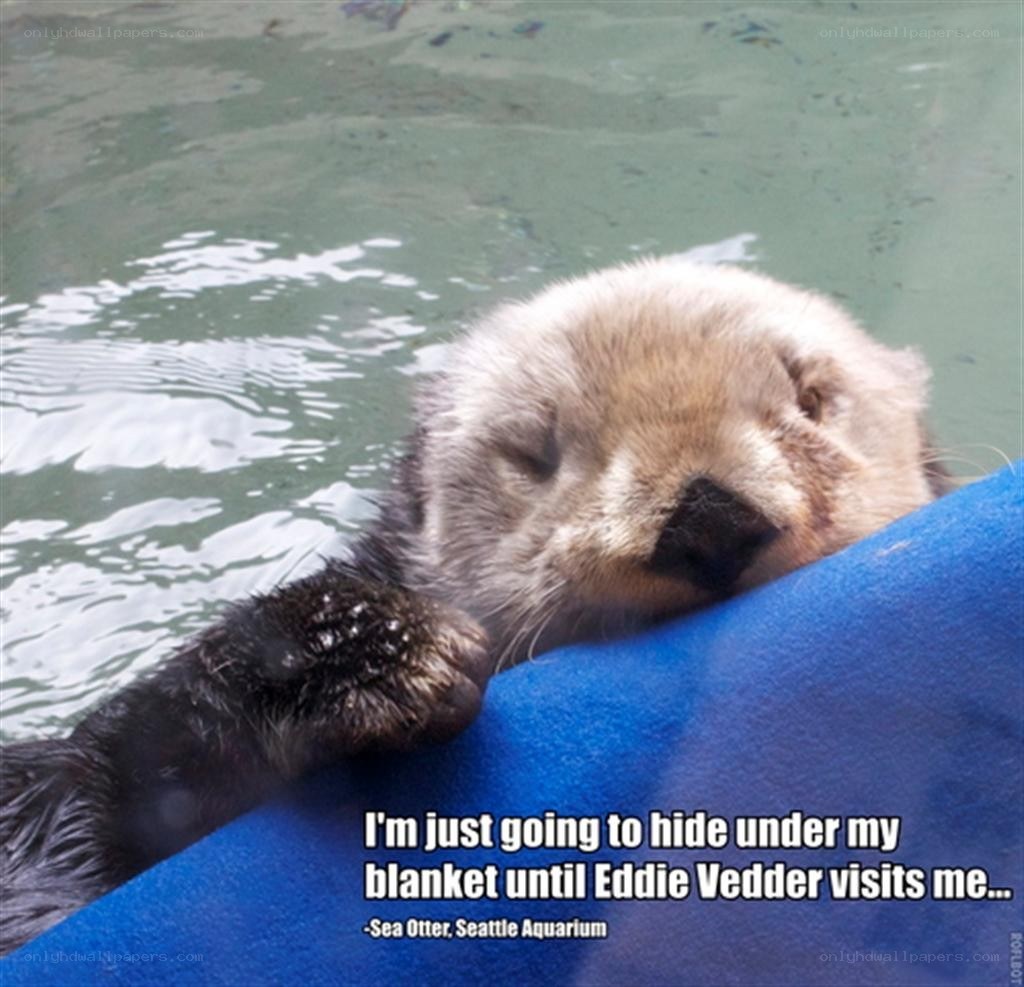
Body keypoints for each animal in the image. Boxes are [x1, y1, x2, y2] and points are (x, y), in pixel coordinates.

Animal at [0, 257, 949, 954]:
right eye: (534, 450)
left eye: (811, 399)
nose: (708, 518)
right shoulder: (93, 805)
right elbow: (111, 778)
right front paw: (374, 652)